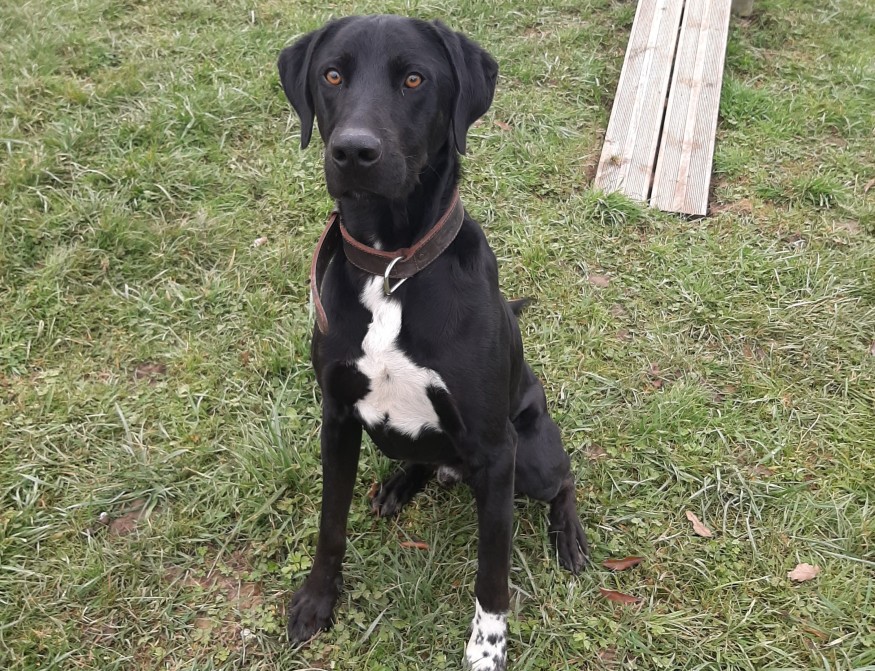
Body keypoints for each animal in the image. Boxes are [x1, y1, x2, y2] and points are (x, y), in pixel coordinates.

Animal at [278, 15, 588, 670]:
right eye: (332, 75)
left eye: (415, 79)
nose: (353, 151)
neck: (392, 267)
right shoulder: (337, 417)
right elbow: (329, 522)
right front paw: (317, 600)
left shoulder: (496, 454)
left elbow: (492, 574)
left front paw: (487, 648)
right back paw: (400, 484)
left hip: (533, 456)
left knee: (565, 480)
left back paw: (569, 538)